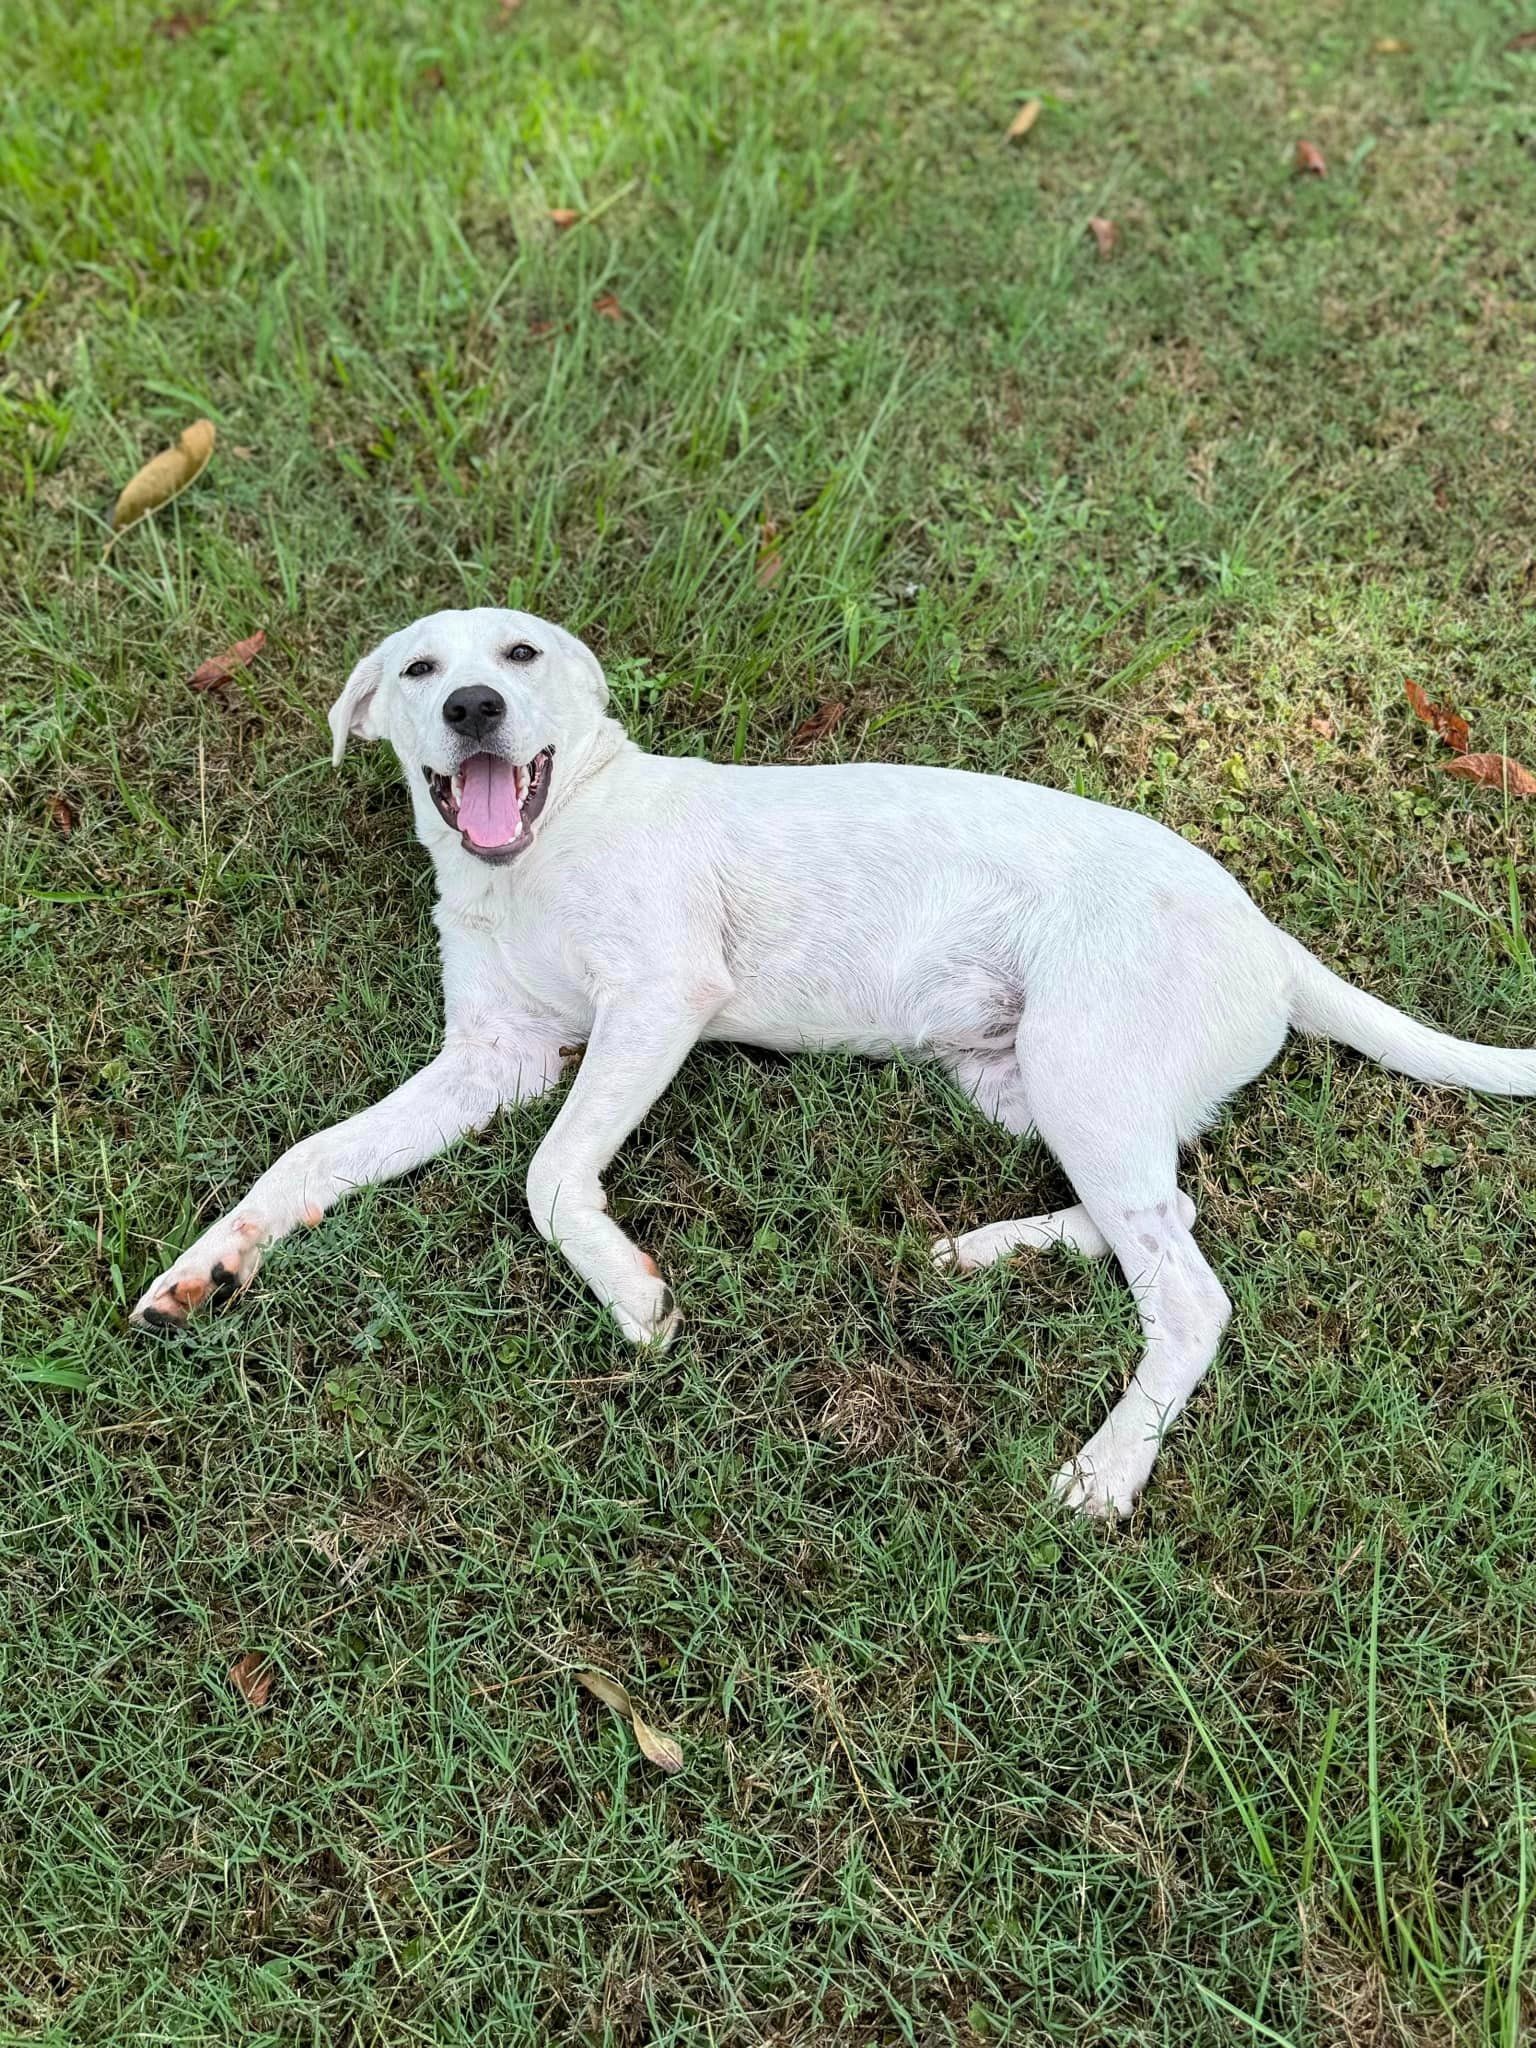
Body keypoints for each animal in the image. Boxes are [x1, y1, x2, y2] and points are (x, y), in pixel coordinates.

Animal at [135, 606, 1536, 1523]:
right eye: (420, 669)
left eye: (520, 657)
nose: (471, 709)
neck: (540, 850)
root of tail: (1271, 938)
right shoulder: (495, 1059)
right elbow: (309, 1155)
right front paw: (212, 1263)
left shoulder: (657, 1002)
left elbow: (546, 1177)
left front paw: (628, 1291)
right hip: (1030, 1083)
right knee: (1164, 1207)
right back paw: (990, 1249)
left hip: (1080, 1067)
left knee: (1189, 1295)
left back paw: (1109, 1466)